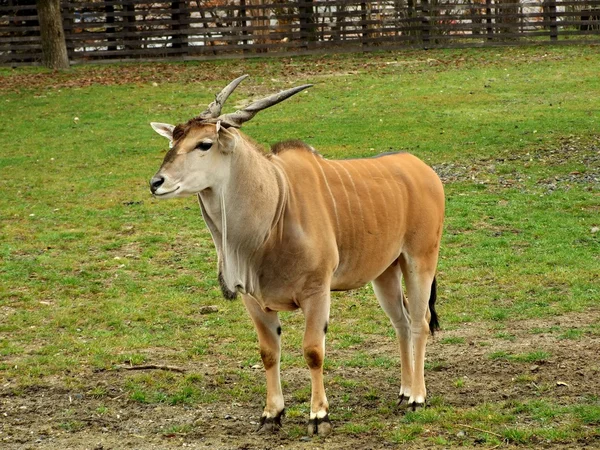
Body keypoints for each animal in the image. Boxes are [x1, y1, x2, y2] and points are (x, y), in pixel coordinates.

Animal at [150, 75, 446, 438]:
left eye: (204, 144)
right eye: (172, 142)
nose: (156, 182)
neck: (276, 204)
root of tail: (423, 170)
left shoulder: (316, 292)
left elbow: (313, 351)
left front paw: (318, 416)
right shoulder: (254, 299)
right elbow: (268, 353)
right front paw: (271, 414)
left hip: (420, 260)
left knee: (419, 321)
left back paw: (417, 397)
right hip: (385, 272)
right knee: (401, 321)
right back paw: (403, 393)